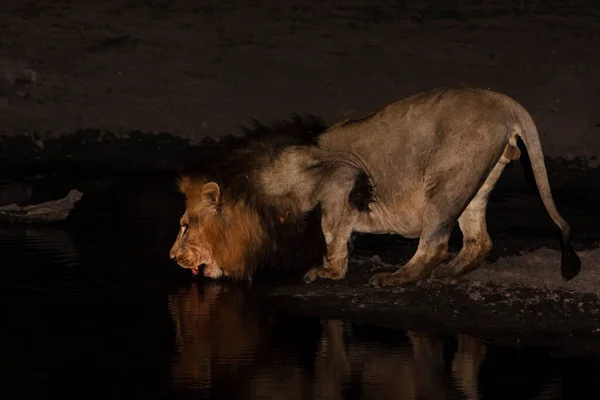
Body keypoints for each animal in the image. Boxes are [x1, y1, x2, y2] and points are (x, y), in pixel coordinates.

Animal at [170, 84, 580, 286]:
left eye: (185, 226)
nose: (173, 258)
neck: (256, 190)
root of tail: (505, 102)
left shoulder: (341, 177)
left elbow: (332, 233)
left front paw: (329, 272)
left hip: (445, 181)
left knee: (435, 244)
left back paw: (397, 278)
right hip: (474, 181)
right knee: (479, 240)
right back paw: (448, 274)